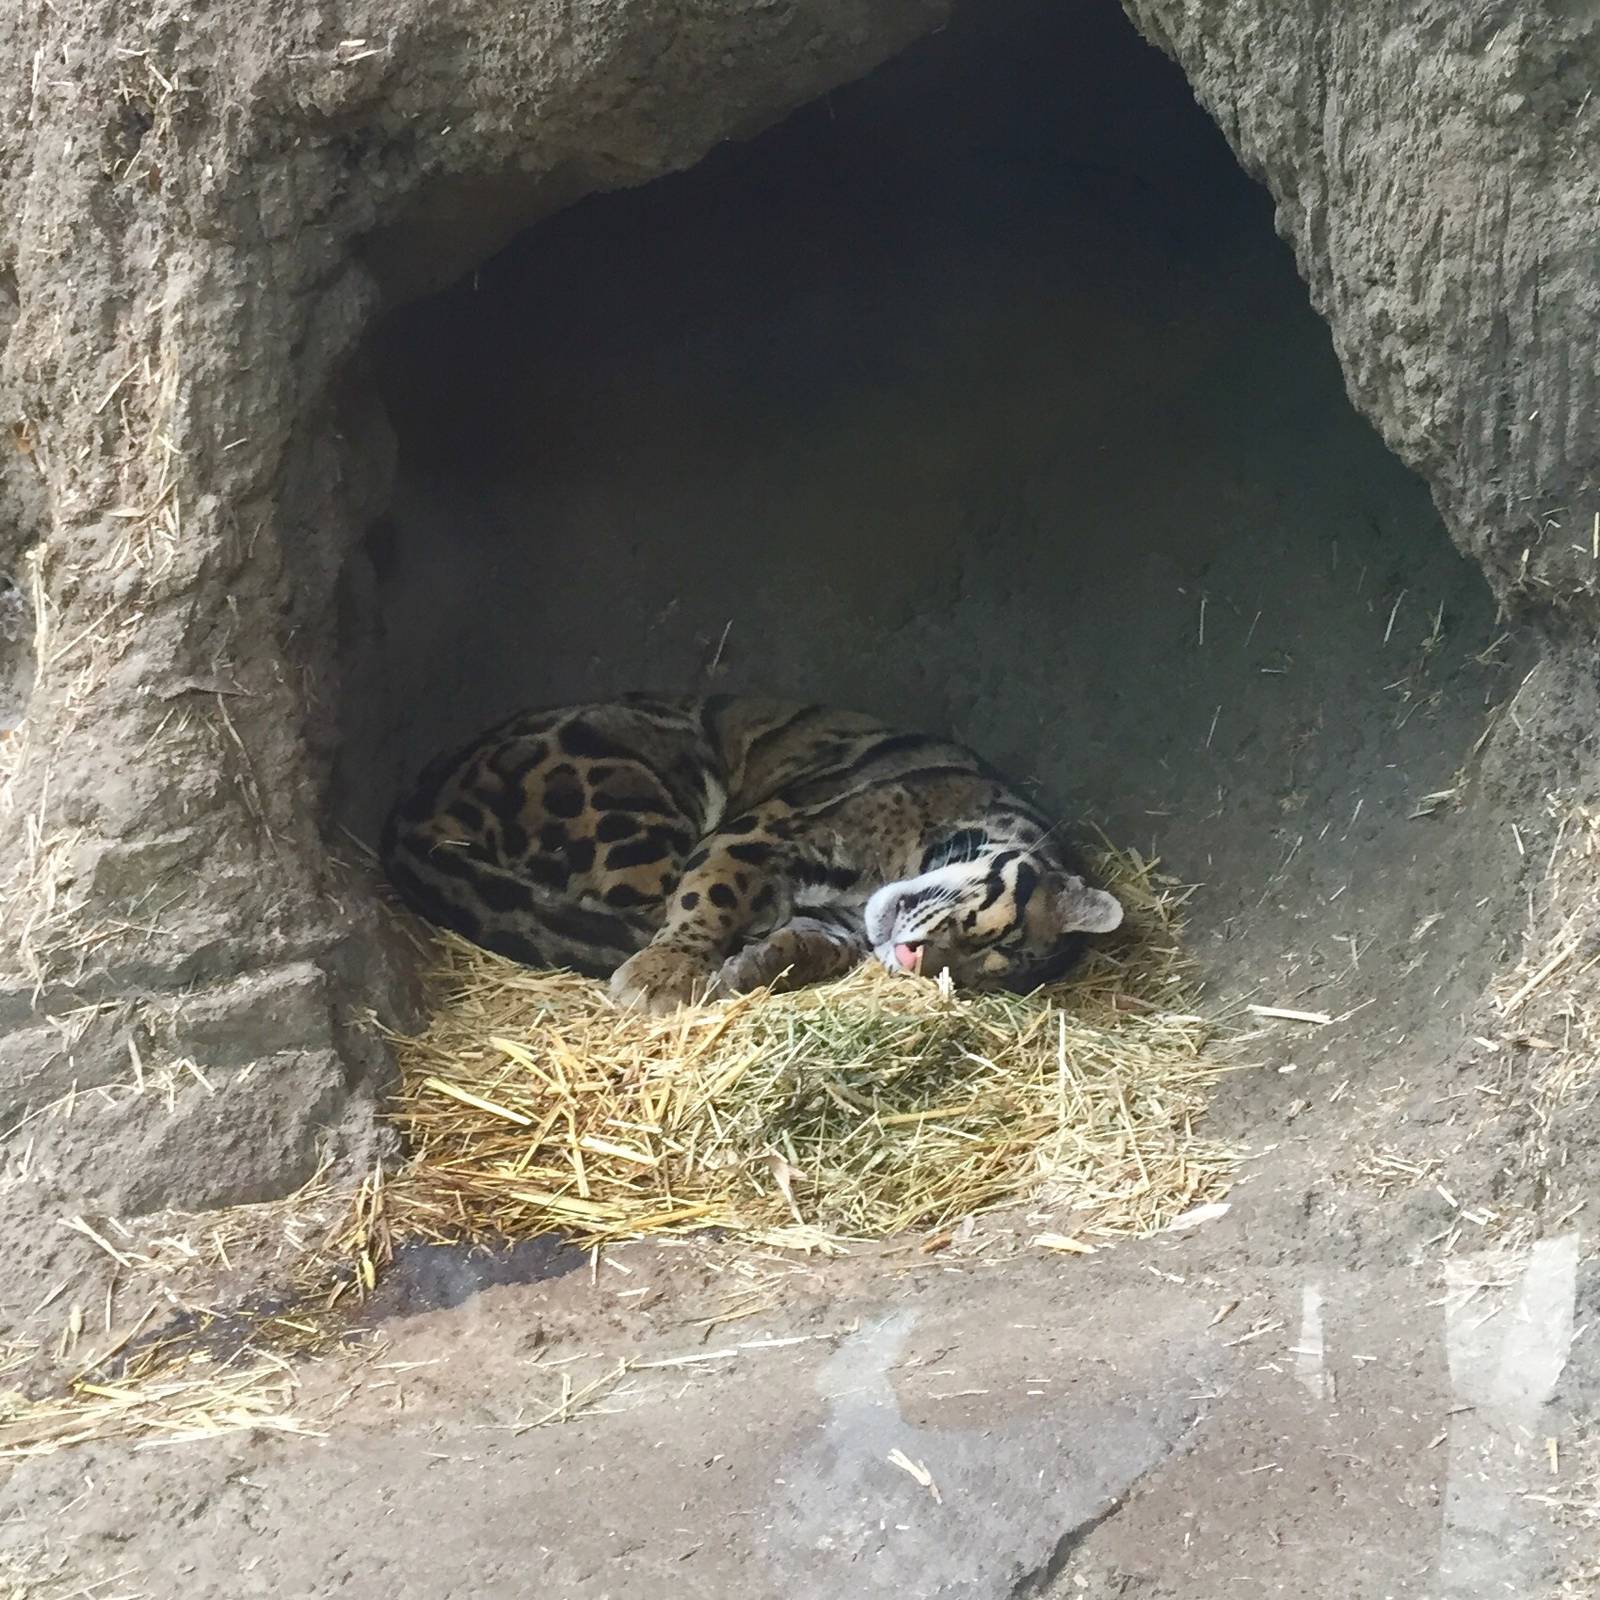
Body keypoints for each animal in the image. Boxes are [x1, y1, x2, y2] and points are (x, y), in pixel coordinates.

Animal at [382, 693, 1124, 1015]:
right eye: (983, 939)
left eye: (969, 978)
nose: (915, 962)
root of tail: (414, 806)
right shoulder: (768, 827)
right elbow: (712, 892)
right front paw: (666, 971)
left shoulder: (839, 921)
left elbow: (808, 944)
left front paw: (756, 966)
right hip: (631, 800)